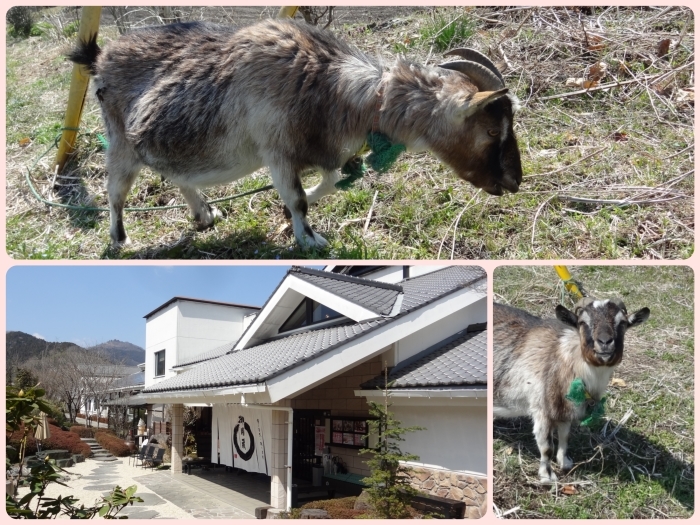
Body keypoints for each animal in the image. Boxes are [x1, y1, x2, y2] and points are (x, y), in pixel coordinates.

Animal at [68, 19, 524, 249]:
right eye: (490, 129)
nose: (513, 182)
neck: (325, 83)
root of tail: (100, 57)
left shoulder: (320, 149)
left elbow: (329, 181)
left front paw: (297, 220)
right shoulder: (277, 151)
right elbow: (299, 198)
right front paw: (310, 239)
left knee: (177, 174)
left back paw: (204, 216)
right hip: (120, 142)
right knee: (115, 192)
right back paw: (119, 240)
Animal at [492, 296, 652, 482]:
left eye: (623, 323)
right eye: (582, 322)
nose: (605, 342)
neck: (564, 359)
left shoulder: (565, 411)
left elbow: (565, 436)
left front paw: (565, 462)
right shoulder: (542, 409)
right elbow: (546, 446)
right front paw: (547, 476)